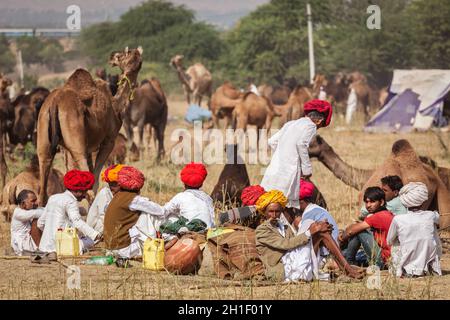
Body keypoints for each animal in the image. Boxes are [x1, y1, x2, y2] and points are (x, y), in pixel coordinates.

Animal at [37, 46, 143, 204]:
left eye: (122, 55)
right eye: (126, 53)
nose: (112, 56)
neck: (116, 104)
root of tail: (55, 103)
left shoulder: (79, 149)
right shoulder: (108, 141)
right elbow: (95, 181)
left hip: (44, 131)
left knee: (43, 181)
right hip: (77, 144)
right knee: (88, 185)